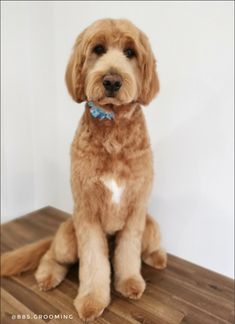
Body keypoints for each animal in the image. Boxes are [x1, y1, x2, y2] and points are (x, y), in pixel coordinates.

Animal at [1, 18, 167, 322]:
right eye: (98, 49)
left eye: (130, 52)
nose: (112, 81)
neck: (113, 127)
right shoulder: (87, 211)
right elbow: (93, 262)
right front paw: (91, 300)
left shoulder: (137, 208)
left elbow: (128, 253)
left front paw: (129, 282)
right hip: (68, 238)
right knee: (52, 255)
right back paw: (47, 276)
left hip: (151, 226)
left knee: (146, 246)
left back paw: (157, 257)